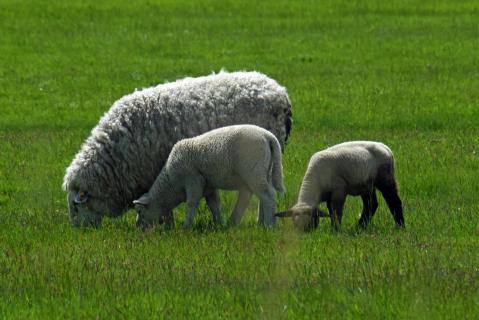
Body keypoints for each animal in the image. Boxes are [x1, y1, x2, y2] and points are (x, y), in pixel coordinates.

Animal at [133, 124, 286, 228]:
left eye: (140, 211)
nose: (138, 227)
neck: (171, 183)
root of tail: (269, 136)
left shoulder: (193, 180)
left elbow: (192, 203)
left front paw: (186, 226)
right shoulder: (209, 186)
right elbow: (214, 205)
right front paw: (220, 224)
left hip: (253, 171)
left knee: (268, 195)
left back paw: (269, 225)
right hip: (264, 171)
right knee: (263, 196)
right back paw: (261, 223)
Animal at [274, 141, 404, 231]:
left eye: (311, 222)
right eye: (294, 224)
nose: (303, 235)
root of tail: (386, 148)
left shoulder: (339, 190)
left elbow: (337, 211)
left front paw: (336, 229)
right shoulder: (329, 196)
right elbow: (331, 210)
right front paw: (333, 226)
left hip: (385, 179)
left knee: (394, 201)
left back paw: (400, 226)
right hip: (366, 184)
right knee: (371, 204)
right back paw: (360, 226)